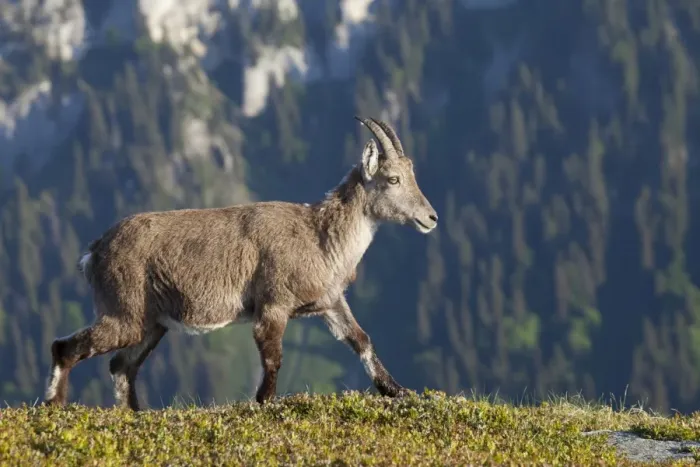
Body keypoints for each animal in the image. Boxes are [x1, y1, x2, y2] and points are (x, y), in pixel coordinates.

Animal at [43, 116, 438, 410]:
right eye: (393, 179)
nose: (431, 218)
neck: (319, 237)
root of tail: (94, 251)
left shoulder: (329, 303)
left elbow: (361, 340)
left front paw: (396, 390)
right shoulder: (273, 304)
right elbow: (273, 357)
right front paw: (263, 402)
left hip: (151, 323)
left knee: (121, 366)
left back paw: (135, 414)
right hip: (123, 312)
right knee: (66, 348)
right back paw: (55, 405)